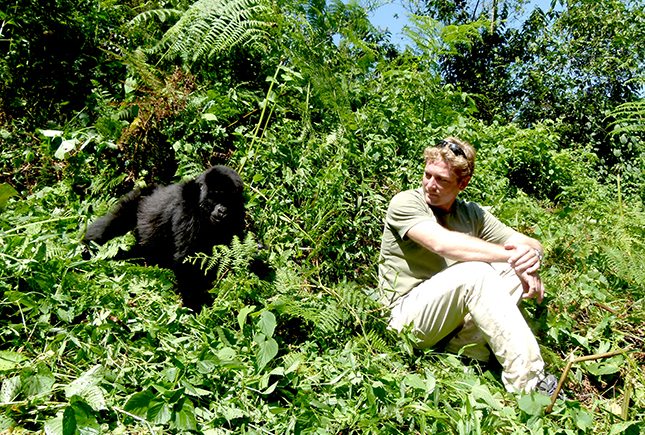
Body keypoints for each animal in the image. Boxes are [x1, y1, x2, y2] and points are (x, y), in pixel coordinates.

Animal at [84, 165, 245, 312]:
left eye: (229, 199)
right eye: (215, 196)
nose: (223, 210)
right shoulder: (187, 208)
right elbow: (187, 261)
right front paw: (195, 307)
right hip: (135, 199)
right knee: (111, 225)